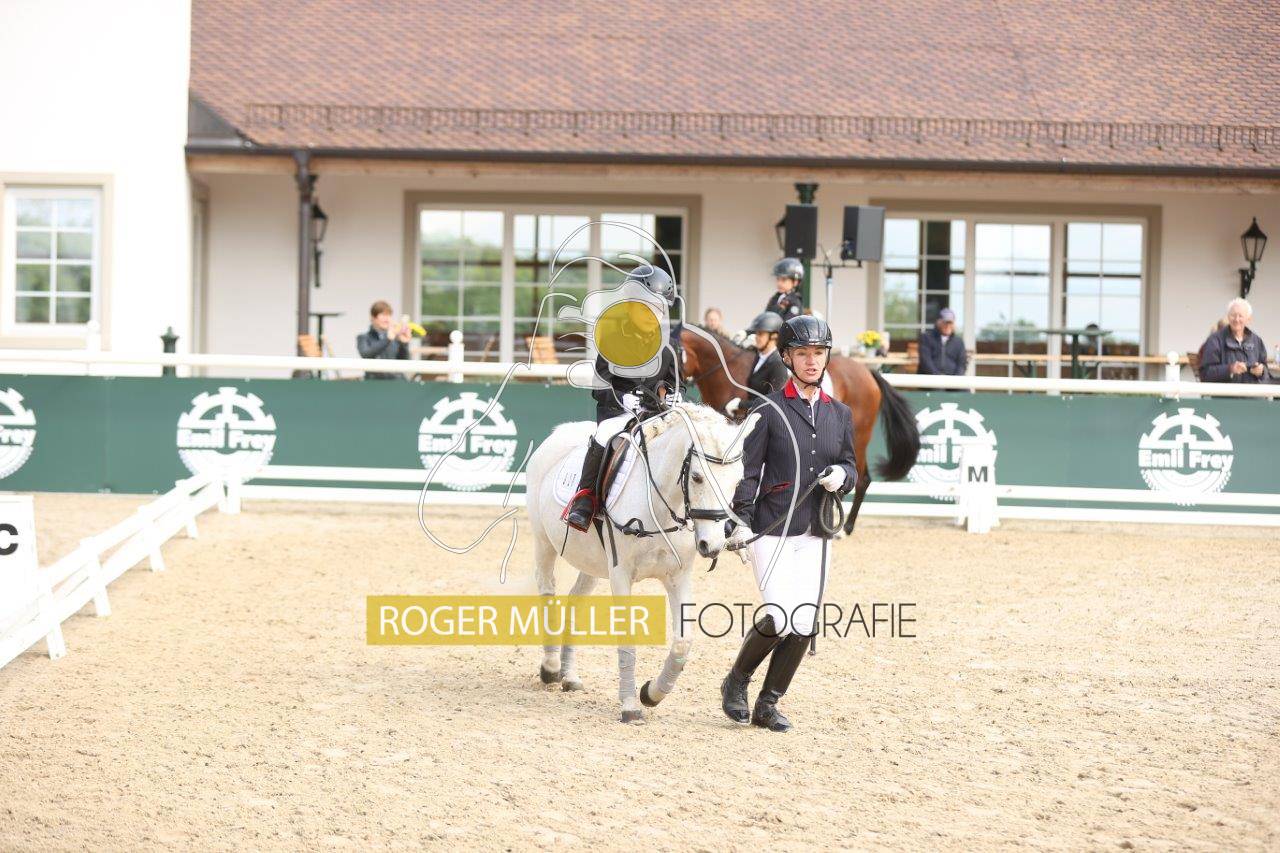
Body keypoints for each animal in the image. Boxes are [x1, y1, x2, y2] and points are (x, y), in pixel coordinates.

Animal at [525, 402, 759, 723]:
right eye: (697, 477)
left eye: (737, 481)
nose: (711, 545)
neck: (662, 506)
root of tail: (559, 432)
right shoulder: (621, 575)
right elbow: (627, 640)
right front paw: (629, 705)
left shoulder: (678, 576)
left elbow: (683, 641)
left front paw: (652, 693)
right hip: (543, 542)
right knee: (547, 589)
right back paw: (550, 667)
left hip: (591, 563)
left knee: (575, 601)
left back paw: (568, 675)